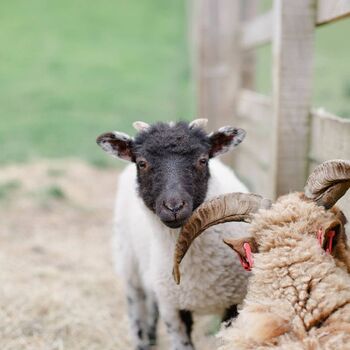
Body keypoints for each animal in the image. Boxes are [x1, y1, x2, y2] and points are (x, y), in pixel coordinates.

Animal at [96, 119, 252, 348]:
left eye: (203, 160)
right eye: (141, 163)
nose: (174, 207)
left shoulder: (236, 303)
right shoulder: (172, 308)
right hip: (129, 262)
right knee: (137, 305)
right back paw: (142, 341)